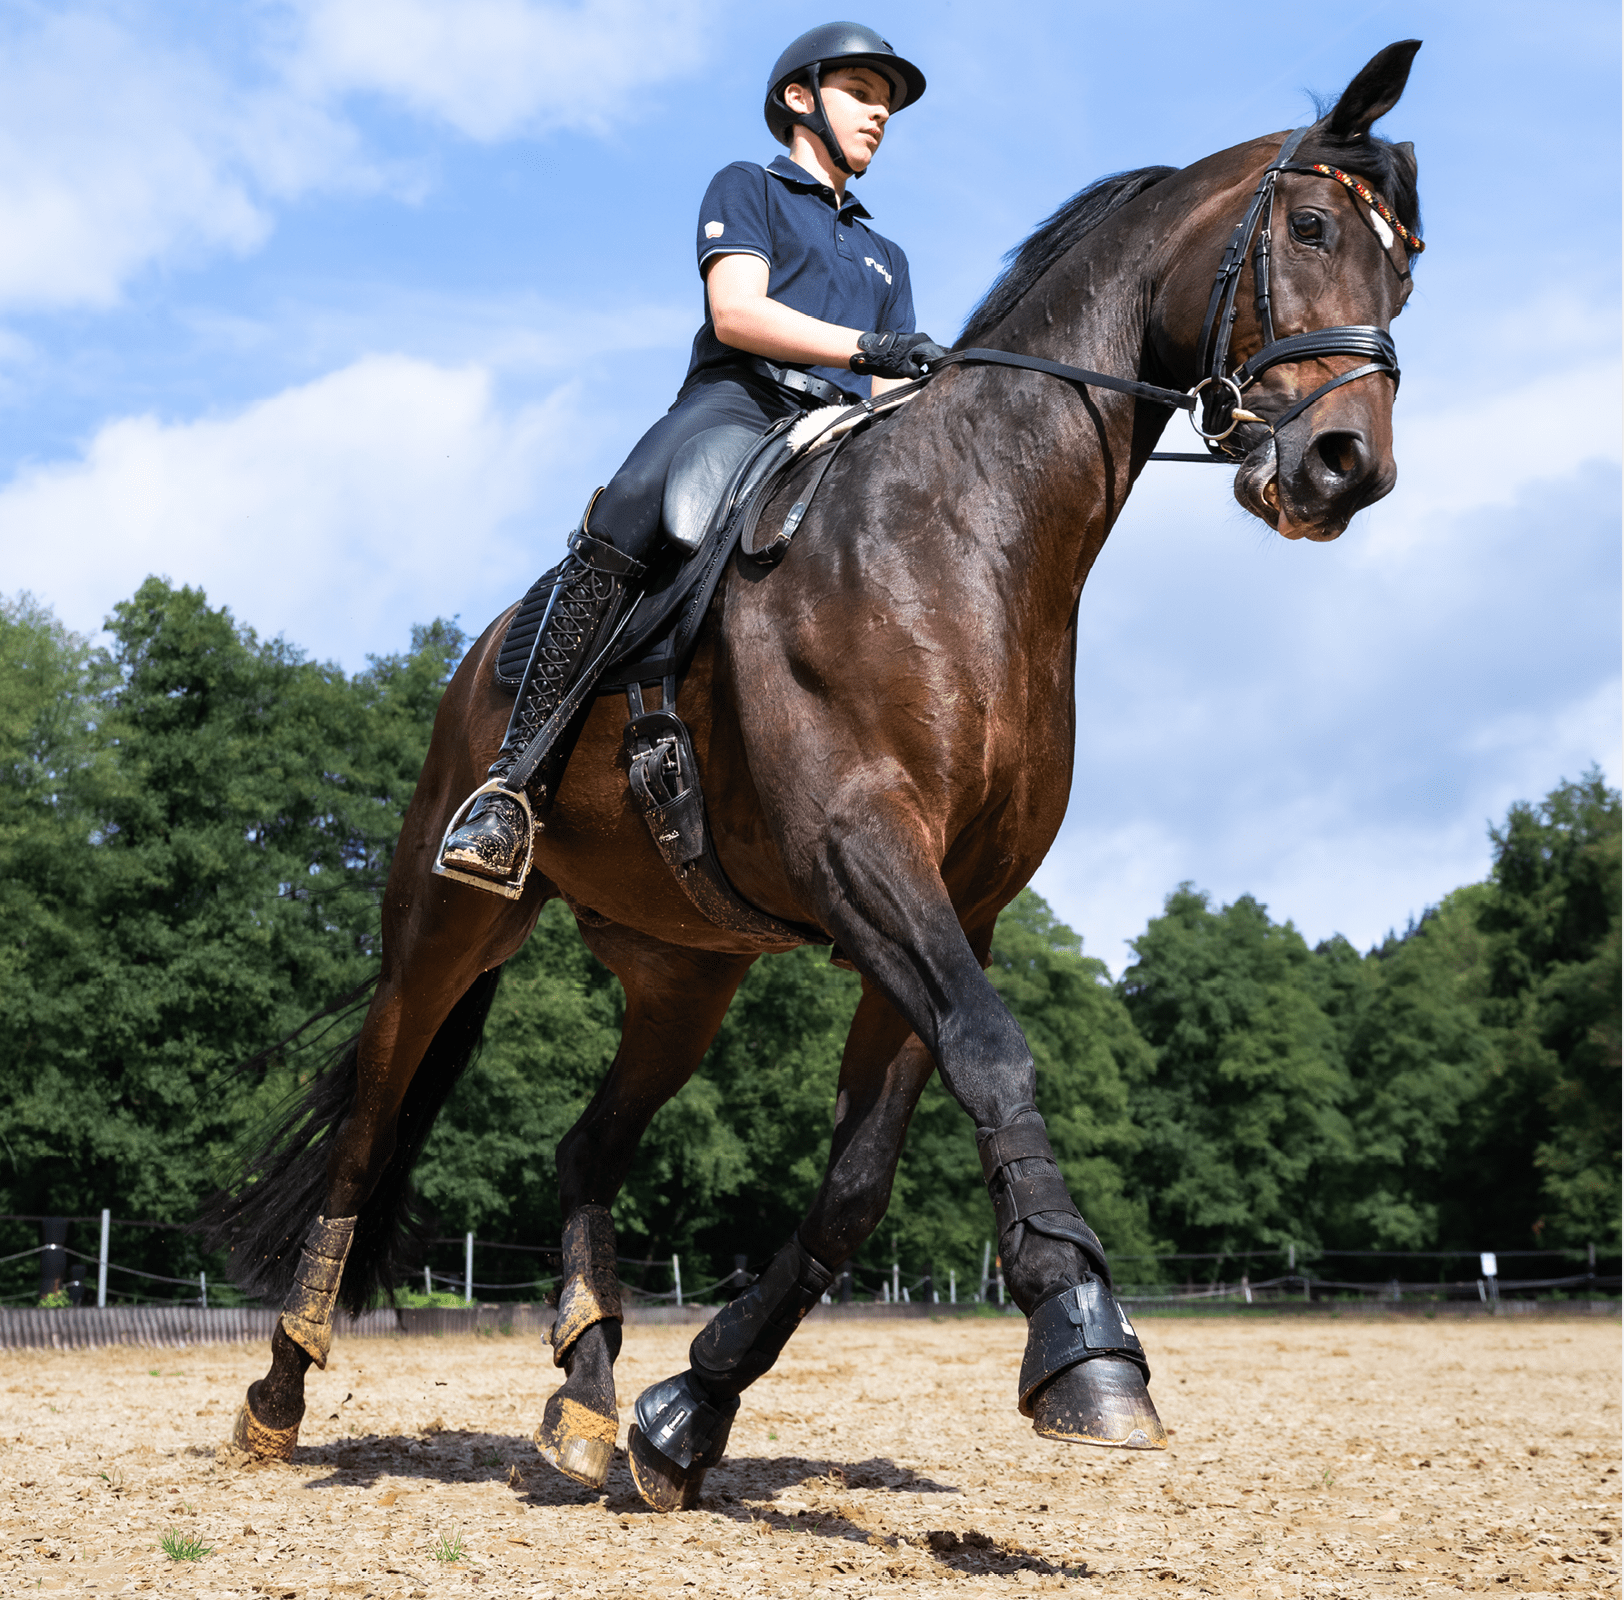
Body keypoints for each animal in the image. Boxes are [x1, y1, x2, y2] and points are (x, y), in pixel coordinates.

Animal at [210, 41, 1424, 1510]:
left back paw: (588, 1394)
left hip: (683, 979)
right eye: (1306, 231)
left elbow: (861, 1174)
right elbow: (996, 1061)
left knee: (584, 1147)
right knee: (371, 1131)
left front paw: (688, 1413)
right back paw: (279, 1394)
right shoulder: (863, 849)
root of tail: (485, 655)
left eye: (1406, 267)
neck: (970, 531)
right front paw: (1087, 1348)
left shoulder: (954, 905)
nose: (1347, 469)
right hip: (444, 925)